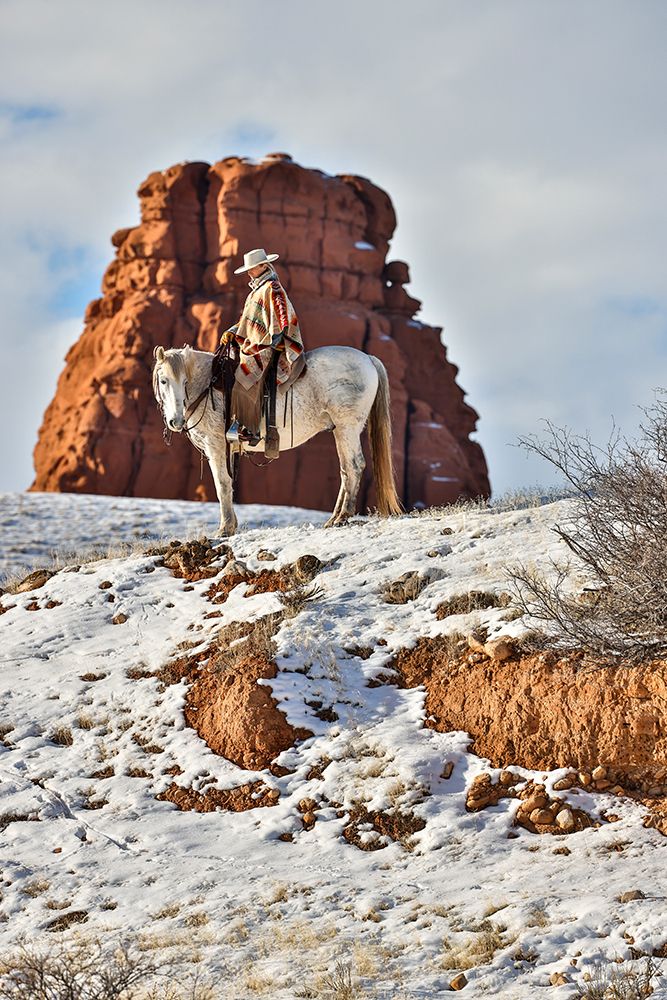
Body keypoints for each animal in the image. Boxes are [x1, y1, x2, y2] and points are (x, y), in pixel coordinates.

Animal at [152, 344, 402, 536]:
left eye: (184, 381)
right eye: (163, 381)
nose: (176, 421)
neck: (209, 385)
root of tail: (368, 359)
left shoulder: (215, 445)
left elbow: (222, 484)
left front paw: (225, 529)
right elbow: (228, 484)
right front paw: (231, 525)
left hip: (347, 427)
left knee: (355, 466)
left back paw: (343, 516)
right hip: (340, 431)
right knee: (345, 470)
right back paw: (334, 518)